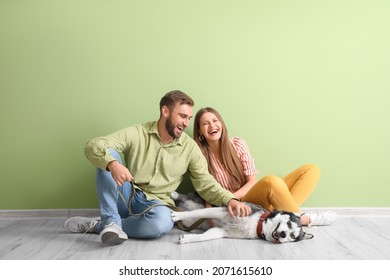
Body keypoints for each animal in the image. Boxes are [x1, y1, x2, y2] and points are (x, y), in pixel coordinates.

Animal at [171, 191, 314, 244]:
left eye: (293, 236)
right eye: (289, 223)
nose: (284, 234)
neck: (258, 224)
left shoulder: (221, 231)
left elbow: (203, 237)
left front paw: (187, 239)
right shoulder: (222, 211)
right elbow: (197, 213)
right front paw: (177, 215)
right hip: (195, 201)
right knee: (186, 199)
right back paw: (175, 196)